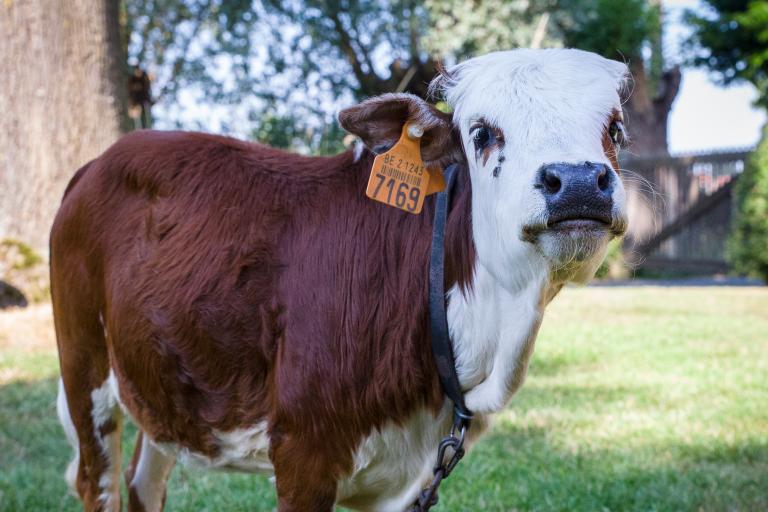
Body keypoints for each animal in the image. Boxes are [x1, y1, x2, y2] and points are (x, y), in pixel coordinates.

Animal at [52, 49, 632, 512]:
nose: (578, 181)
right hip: (85, 370)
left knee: (144, 482)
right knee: (97, 481)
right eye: (482, 133)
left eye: (615, 129)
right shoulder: (302, 453)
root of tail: (101, 161)